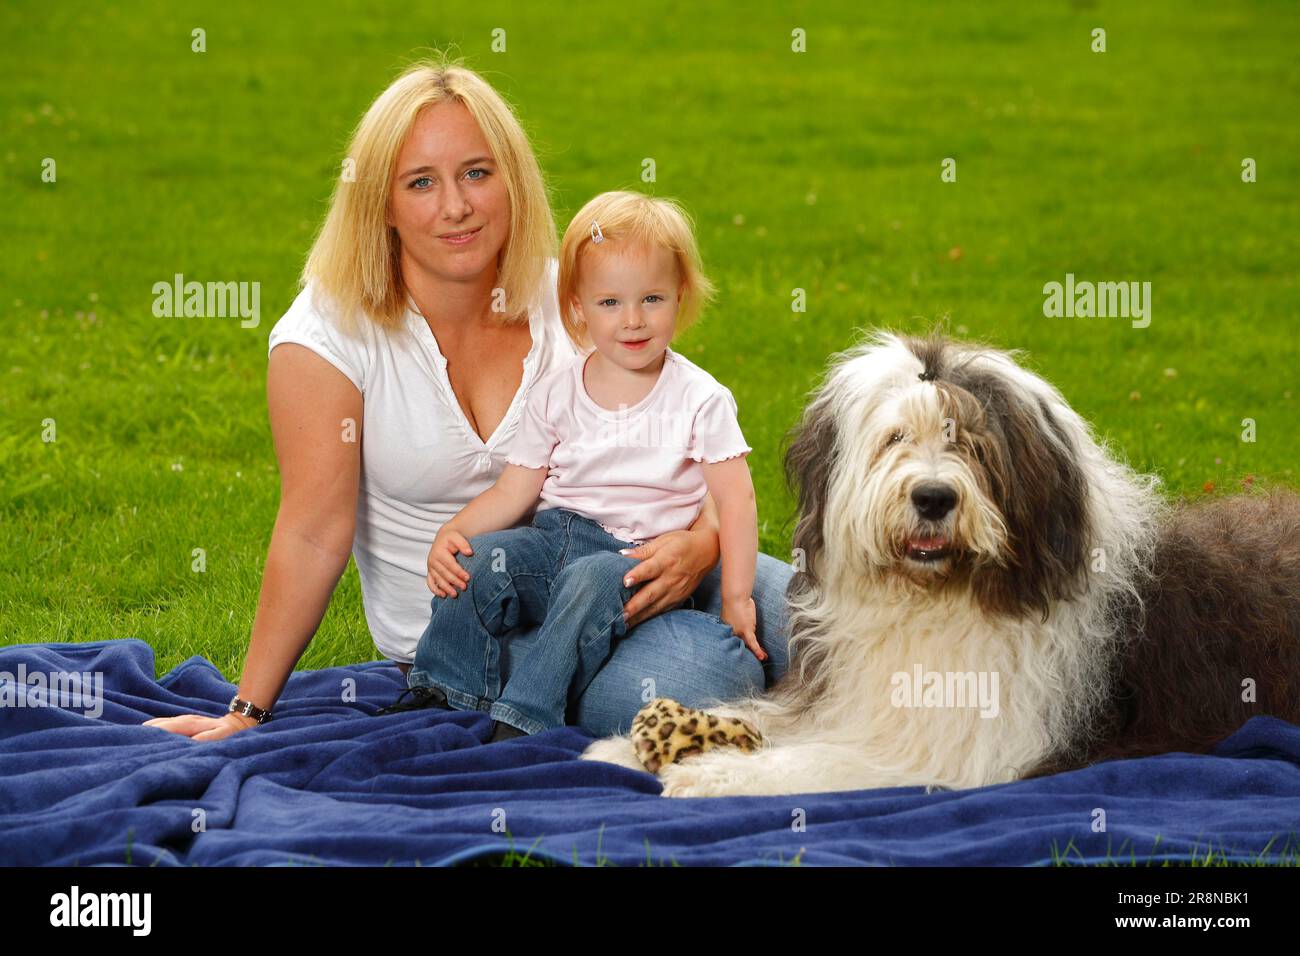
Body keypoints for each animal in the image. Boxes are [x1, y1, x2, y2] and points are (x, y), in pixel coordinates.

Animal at [585, 332, 1300, 796]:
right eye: (895, 438)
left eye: (975, 446)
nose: (933, 497)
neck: (934, 599)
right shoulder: (844, 700)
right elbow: (764, 717)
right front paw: (622, 746)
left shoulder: (959, 749)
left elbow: (823, 764)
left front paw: (714, 774)